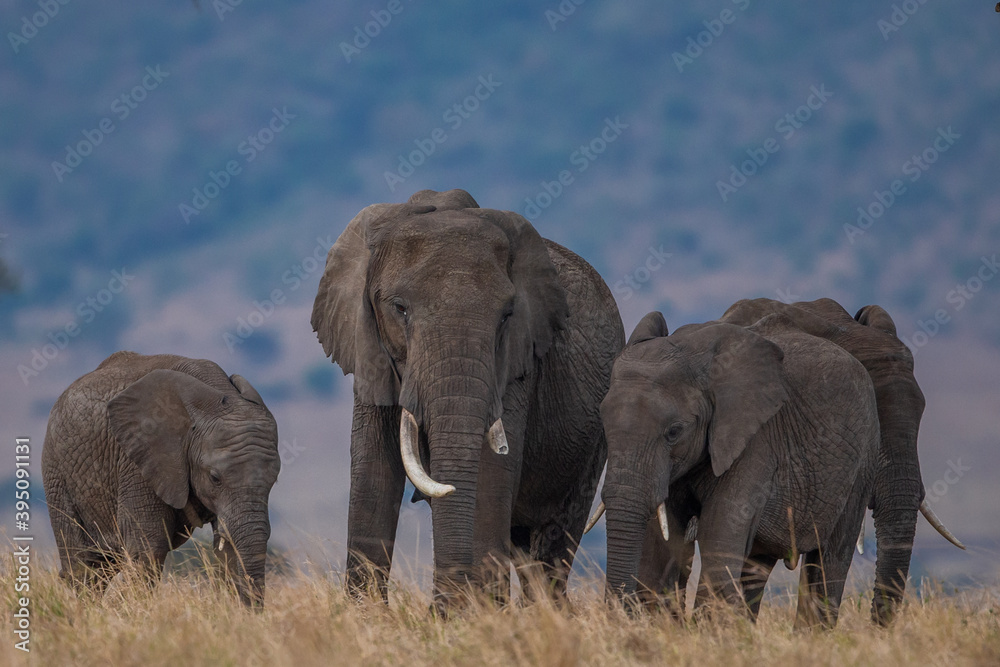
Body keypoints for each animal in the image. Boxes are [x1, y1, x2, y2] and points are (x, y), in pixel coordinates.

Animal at [42, 352, 280, 607]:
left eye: (274, 480)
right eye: (215, 478)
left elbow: (228, 548)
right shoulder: (137, 463)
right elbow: (148, 547)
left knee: (104, 566)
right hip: (56, 470)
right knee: (83, 565)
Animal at [310, 188, 624, 607]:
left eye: (507, 314)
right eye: (399, 308)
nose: (438, 609)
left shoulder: (515, 363)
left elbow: (491, 470)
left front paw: (472, 614)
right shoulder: (367, 347)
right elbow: (372, 470)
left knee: (551, 546)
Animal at [597, 310, 880, 628]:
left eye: (674, 431)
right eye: (602, 421)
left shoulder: (756, 442)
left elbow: (718, 542)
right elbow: (662, 551)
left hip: (863, 460)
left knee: (829, 558)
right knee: (756, 565)